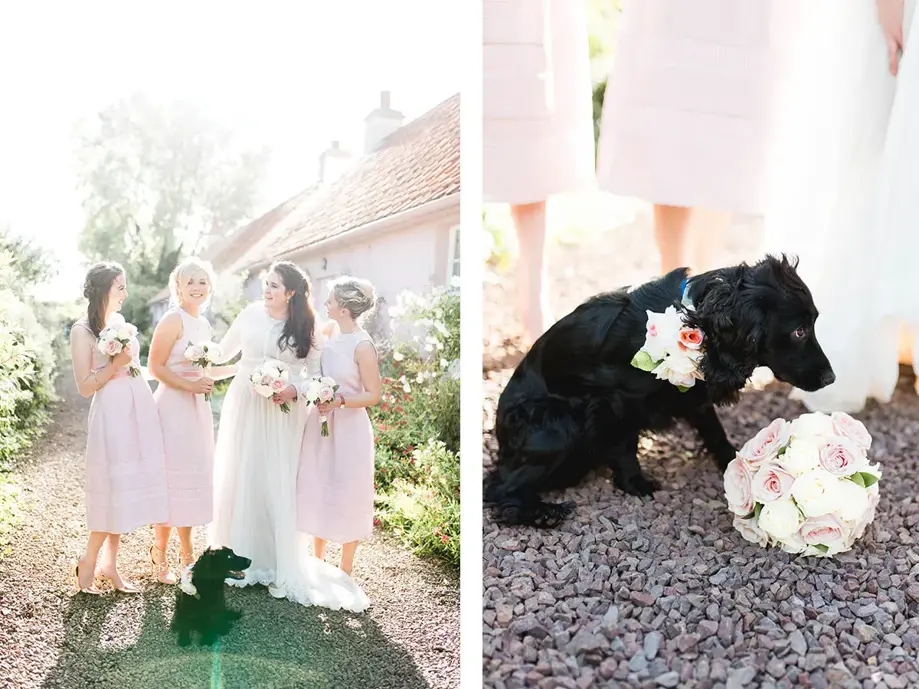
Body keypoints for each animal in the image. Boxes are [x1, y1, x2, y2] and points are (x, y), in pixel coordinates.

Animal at [486, 253, 836, 528]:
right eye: (799, 331)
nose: (831, 378)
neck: (691, 317)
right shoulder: (613, 401)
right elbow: (624, 445)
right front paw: (636, 483)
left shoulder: (693, 393)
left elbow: (715, 431)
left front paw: (734, 461)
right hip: (558, 425)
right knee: (500, 490)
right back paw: (542, 513)